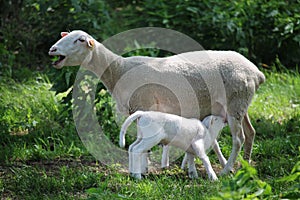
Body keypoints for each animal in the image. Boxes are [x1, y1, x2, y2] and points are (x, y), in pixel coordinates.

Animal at [48, 30, 264, 175]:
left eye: (79, 40)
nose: (52, 49)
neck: (118, 70)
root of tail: (256, 72)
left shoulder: (143, 104)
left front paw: (142, 170)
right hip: (241, 103)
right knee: (251, 132)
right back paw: (245, 165)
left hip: (236, 101)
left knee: (239, 138)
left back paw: (226, 170)